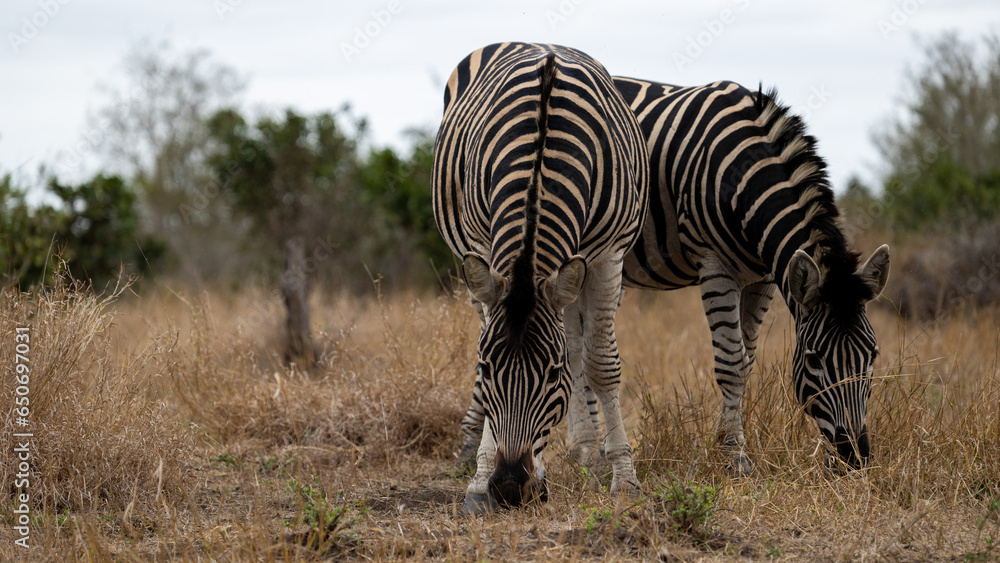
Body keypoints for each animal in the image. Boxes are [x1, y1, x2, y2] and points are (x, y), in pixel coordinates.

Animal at [433, 42, 649, 514]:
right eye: (487, 368)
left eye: (552, 376)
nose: (512, 487)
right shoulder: (483, 248)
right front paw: (479, 480)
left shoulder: (608, 257)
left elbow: (600, 364)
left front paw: (624, 478)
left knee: (577, 345)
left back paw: (587, 453)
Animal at [457, 78, 890, 473]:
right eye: (815, 359)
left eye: (872, 355)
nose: (855, 457)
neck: (744, 173)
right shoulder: (714, 265)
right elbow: (731, 362)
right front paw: (734, 457)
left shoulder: (764, 277)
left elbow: (748, 360)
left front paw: (727, 440)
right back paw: (475, 447)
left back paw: (592, 451)